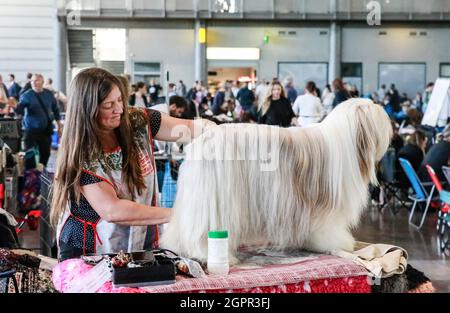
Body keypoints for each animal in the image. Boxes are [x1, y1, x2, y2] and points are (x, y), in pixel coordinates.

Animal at [160, 98, 392, 264]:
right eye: (377, 115)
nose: (389, 126)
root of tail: (203, 140)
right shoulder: (326, 206)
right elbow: (328, 229)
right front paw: (338, 243)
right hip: (214, 201)